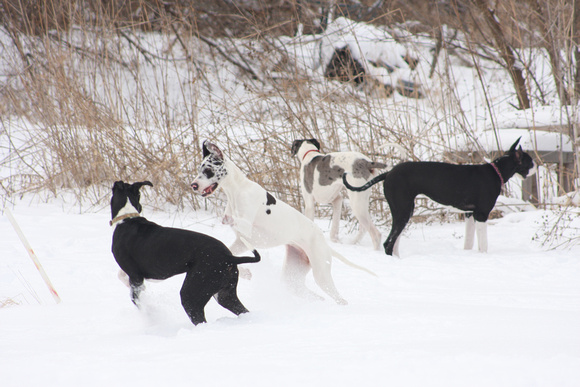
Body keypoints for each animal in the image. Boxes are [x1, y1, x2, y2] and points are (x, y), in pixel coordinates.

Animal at [110, 181, 260, 324]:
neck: (127, 217)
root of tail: (228, 257)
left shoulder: (135, 276)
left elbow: (137, 299)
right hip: (224, 295)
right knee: (242, 310)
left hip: (191, 294)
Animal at [188, 141, 374, 304]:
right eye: (199, 169)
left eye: (208, 170)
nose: (193, 185)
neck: (237, 190)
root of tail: (324, 243)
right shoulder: (241, 242)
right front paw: (245, 272)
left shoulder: (246, 228)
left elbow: (234, 221)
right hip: (292, 279)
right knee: (313, 295)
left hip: (322, 275)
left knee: (340, 299)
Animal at [342, 138, 536, 256]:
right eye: (530, 161)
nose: (537, 166)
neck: (495, 172)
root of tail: (389, 173)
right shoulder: (481, 215)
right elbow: (483, 245)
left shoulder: (469, 214)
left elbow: (468, 242)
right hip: (403, 211)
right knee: (388, 243)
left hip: (404, 212)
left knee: (394, 242)